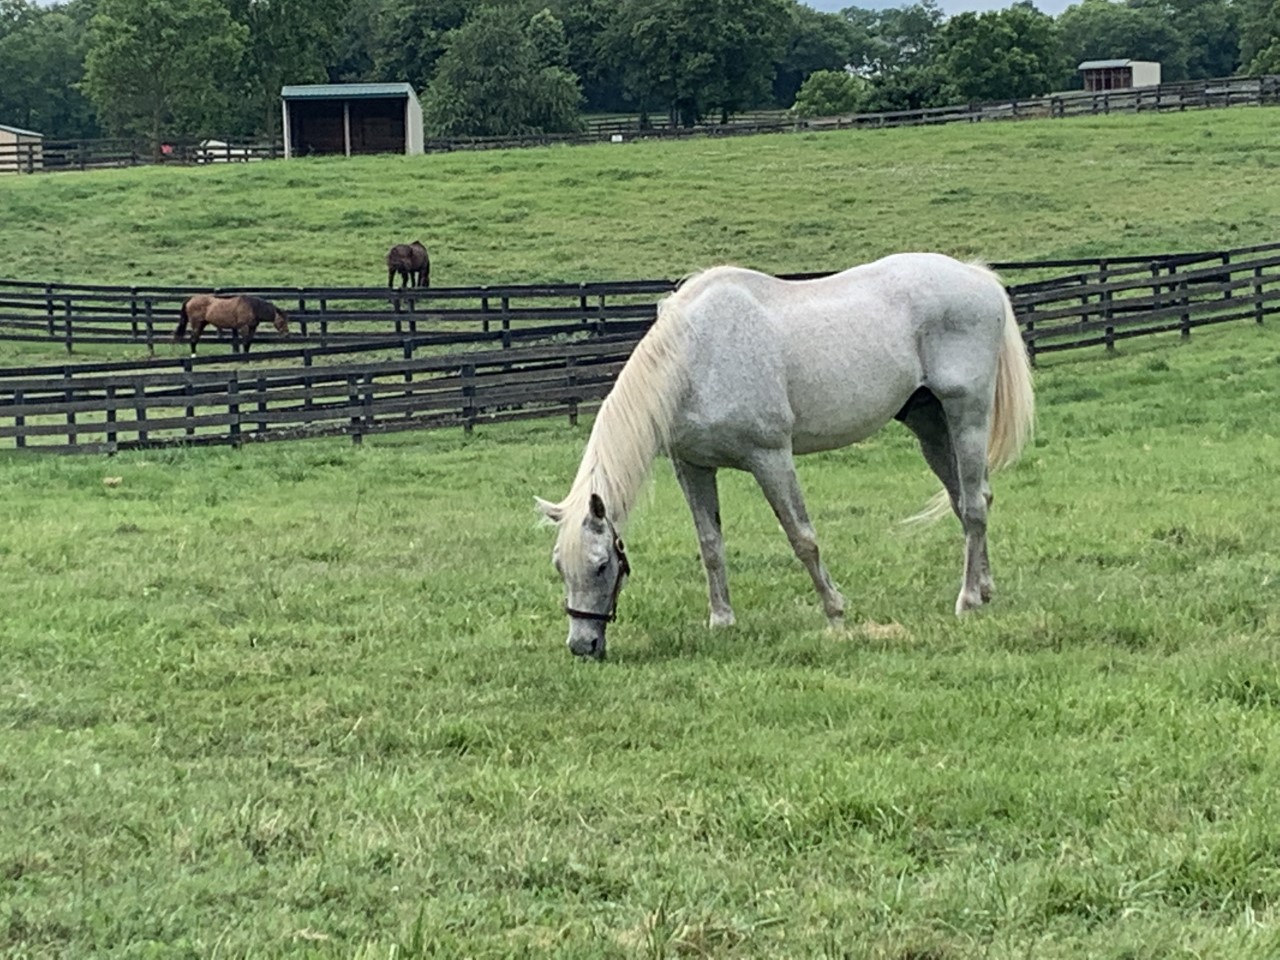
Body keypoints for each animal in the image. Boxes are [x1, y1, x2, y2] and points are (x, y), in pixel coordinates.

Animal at [535, 253, 1034, 660]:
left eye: (602, 565)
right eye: (560, 566)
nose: (582, 646)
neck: (696, 358)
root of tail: (976, 276)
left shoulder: (771, 458)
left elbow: (802, 538)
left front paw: (835, 613)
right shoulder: (693, 467)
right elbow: (710, 545)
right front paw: (722, 621)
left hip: (966, 416)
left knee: (973, 506)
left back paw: (966, 600)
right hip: (930, 424)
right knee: (968, 501)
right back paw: (985, 590)